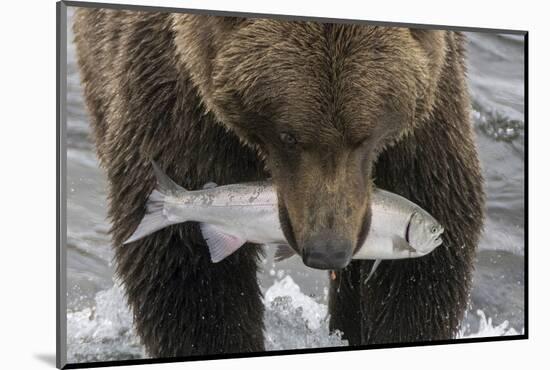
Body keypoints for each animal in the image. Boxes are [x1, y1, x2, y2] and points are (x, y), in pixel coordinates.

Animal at [74, 7, 488, 356]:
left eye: (363, 137)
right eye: (289, 136)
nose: (328, 250)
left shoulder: (424, 132)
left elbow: (420, 277)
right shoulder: (180, 107)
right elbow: (188, 274)